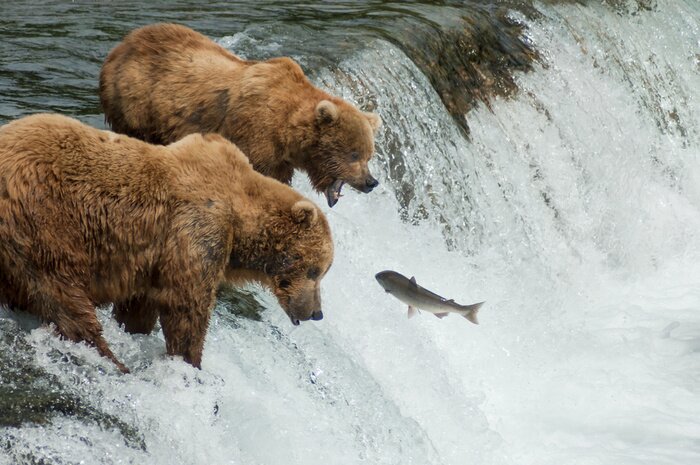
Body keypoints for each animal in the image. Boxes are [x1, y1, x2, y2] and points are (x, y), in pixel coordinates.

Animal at [0, 113, 333, 373]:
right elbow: (186, 307)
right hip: (44, 222)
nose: (317, 312)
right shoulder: (195, 231)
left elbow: (141, 306)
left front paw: (136, 331)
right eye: (315, 270)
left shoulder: (153, 260)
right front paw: (191, 363)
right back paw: (113, 361)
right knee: (63, 294)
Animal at [99, 23, 382, 208]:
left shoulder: (280, 159)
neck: (287, 131)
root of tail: (123, 43)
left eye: (369, 155)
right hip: (135, 101)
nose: (371, 181)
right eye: (354, 154)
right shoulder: (256, 135)